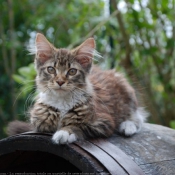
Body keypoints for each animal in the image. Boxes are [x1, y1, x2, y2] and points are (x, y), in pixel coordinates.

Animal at [8, 33, 148, 144]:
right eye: (51, 69)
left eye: (72, 71)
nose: (60, 81)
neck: (62, 102)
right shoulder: (39, 121)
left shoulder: (104, 122)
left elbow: (78, 126)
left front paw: (64, 133)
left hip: (125, 87)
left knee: (137, 118)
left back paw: (127, 126)